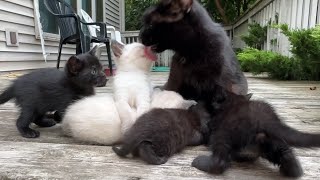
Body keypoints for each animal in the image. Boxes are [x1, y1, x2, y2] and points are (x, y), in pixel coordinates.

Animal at [191, 88, 320, 178]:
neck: (235, 102)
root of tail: (263, 119)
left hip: (222, 134)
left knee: (219, 162)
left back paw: (197, 162)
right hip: (273, 140)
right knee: (286, 153)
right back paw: (291, 170)